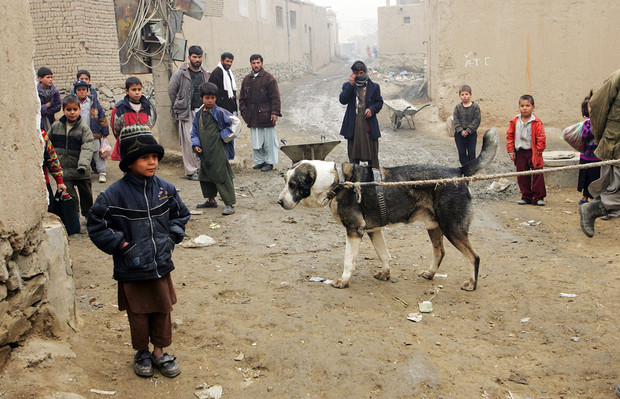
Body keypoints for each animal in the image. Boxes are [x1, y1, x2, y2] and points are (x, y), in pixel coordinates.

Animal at [276, 128, 498, 290]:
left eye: (294, 185)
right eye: (285, 181)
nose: (279, 202)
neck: (337, 181)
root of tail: (457, 171)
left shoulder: (354, 231)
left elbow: (348, 260)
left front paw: (343, 281)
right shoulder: (374, 230)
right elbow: (384, 255)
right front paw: (386, 274)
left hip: (452, 227)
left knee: (474, 257)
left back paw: (472, 284)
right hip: (434, 226)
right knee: (440, 252)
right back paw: (430, 273)